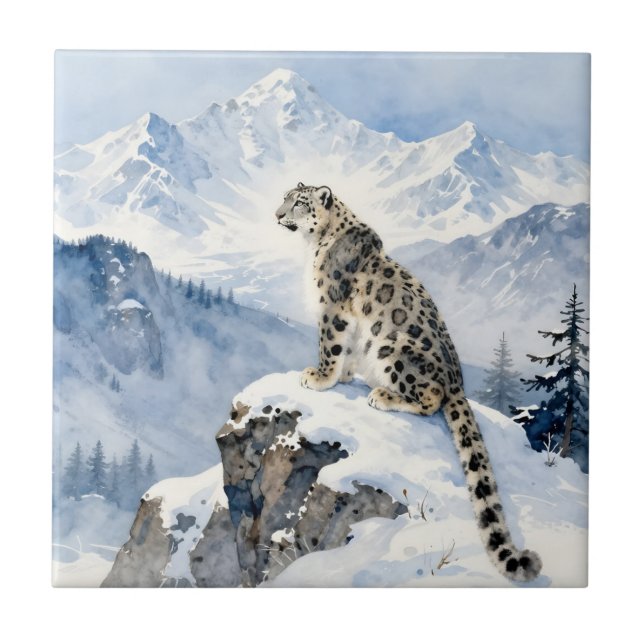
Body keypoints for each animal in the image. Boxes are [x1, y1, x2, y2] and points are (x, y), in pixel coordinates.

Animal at [275, 182, 542, 582]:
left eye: (300, 202)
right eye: (285, 197)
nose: (277, 214)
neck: (316, 243)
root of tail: (457, 381)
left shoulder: (333, 307)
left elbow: (330, 345)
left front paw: (320, 377)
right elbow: (346, 350)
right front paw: (343, 374)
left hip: (395, 349)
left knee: (431, 397)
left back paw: (383, 396)